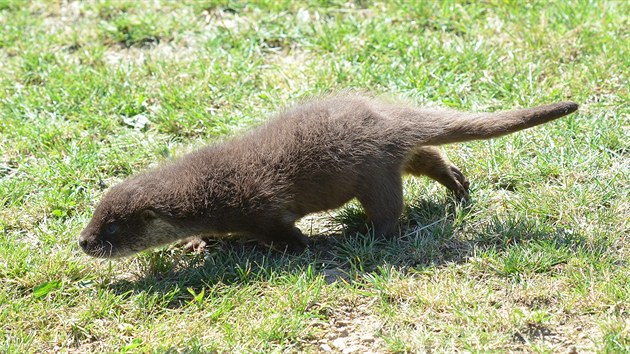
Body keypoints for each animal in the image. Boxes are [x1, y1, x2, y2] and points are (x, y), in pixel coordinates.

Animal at [76, 95, 580, 258]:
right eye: (94, 215)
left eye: (112, 228)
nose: (83, 242)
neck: (206, 191)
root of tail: (388, 118)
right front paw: (197, 242)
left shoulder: (260, 209)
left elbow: (285, 235)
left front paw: (299, 249)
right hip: (398, 158)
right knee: (433, 157)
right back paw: (459, 186)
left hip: (374, 176)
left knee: (391, 213)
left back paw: (367, 237)